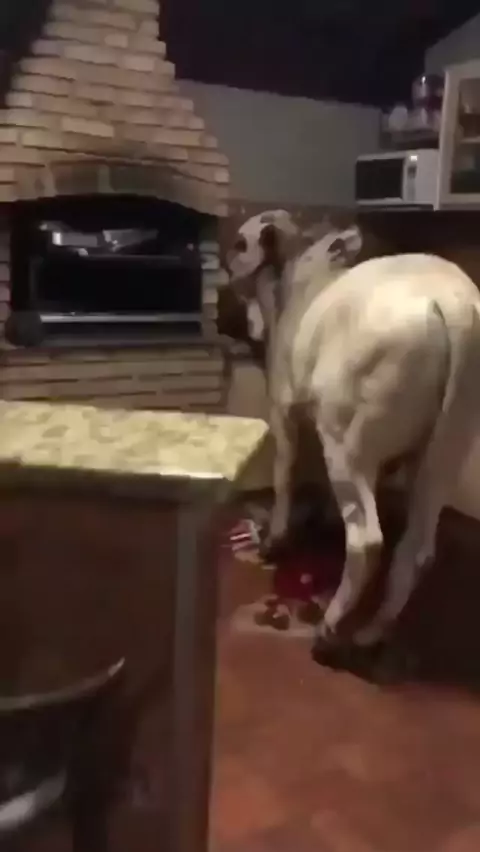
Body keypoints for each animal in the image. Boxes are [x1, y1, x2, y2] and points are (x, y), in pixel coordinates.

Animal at [224, 209, 480, 659]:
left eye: (240, 243)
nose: (222, 273)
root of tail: (453, 302)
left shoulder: (283, 415)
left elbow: (284, 477)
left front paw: (275, 540)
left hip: (344, 444)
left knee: (367, 541)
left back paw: (329, 630)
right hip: (443, 455)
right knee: (415, 551)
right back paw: (372, 632)